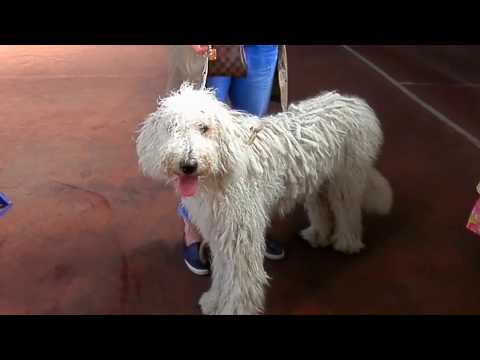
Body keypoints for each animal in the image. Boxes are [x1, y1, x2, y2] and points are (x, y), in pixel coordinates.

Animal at [137, 83, 392, 314]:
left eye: (204, 128)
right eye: (172, 127)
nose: (188, 164)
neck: (219, 176)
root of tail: (354, 103)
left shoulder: (240, 235)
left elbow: (240, 279)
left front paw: (235, 309)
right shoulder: (219, 233)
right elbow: (222, 273)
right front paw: (213, 301)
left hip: (346, 177)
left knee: (348, 210)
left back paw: (347, 243)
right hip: (317, 181)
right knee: (321, 208)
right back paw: (318, 235)